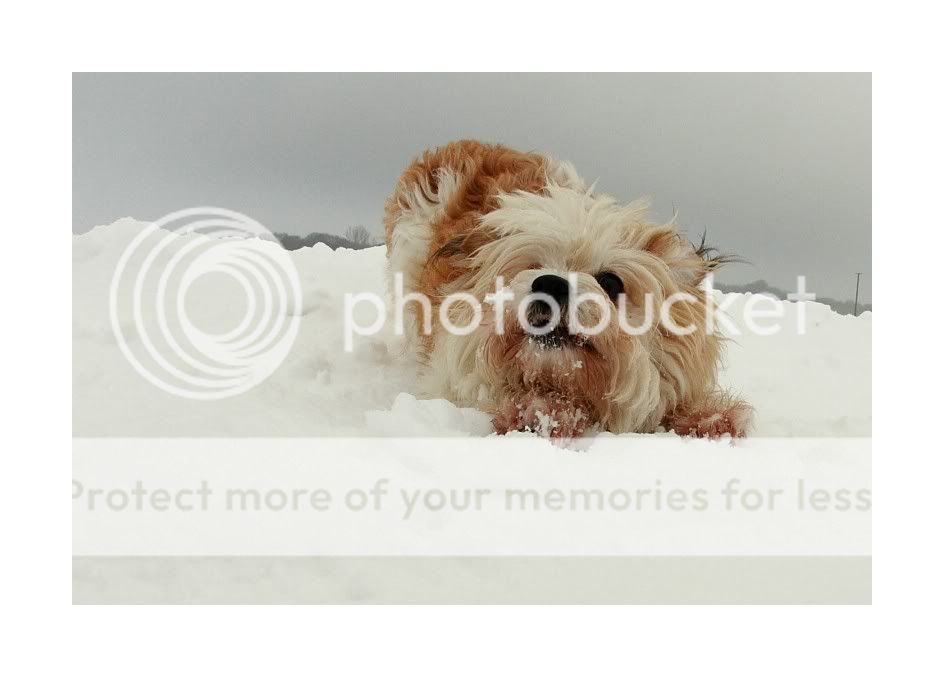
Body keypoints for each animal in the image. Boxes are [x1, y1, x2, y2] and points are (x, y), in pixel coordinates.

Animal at [384, 140, 751, 439]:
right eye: (532, 266)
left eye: (610, 282)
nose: (551, 283)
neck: (560, 383)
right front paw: (536, 412)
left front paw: (709, 418)